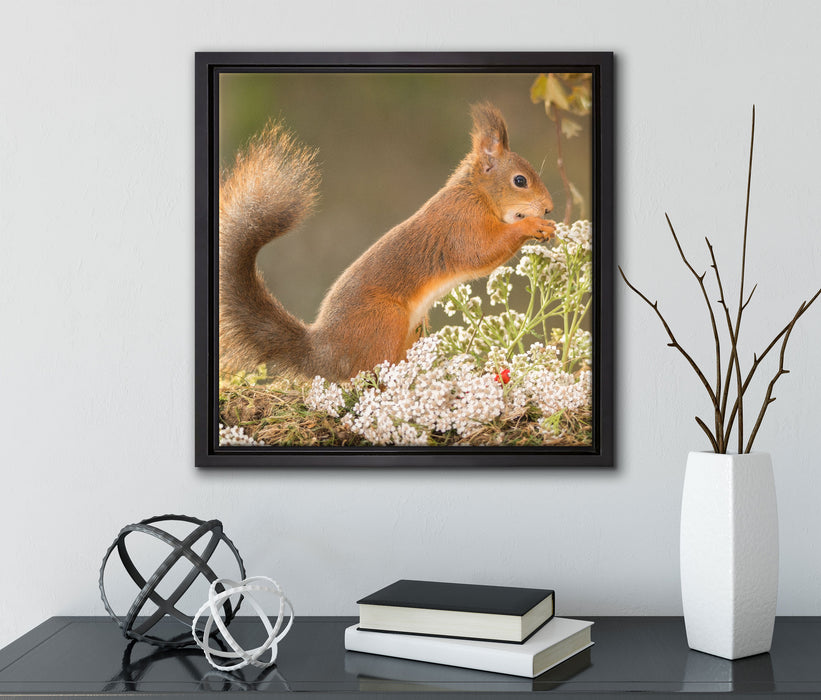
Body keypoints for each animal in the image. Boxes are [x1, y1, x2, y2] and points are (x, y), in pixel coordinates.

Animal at [219, 103, 555, 382]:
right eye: (520, 181)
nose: (549, 208)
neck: (476, 193)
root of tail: (324, 353)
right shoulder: (461, 224)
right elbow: (481, 252)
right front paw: (532, 225)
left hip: (414, 329)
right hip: (385, 321)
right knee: (372, 374)